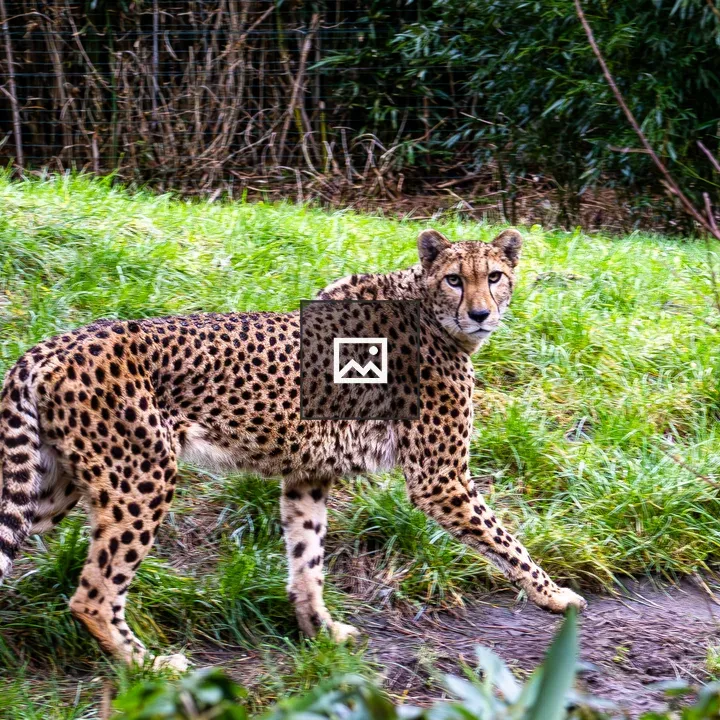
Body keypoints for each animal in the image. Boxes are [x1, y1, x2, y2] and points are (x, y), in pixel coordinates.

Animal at [0, 228, 586, 671]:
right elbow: (504, 539)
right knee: (94, 595)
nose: (481, 314)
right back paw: (150, 666)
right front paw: (556, 596)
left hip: (53, 486)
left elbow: (307, 561)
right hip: (140, 479)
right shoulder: (440, 478)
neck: (428, 310)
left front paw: (320, 630)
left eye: (495, 277)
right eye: (455, 279)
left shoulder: (308, 474)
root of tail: (54, 343)